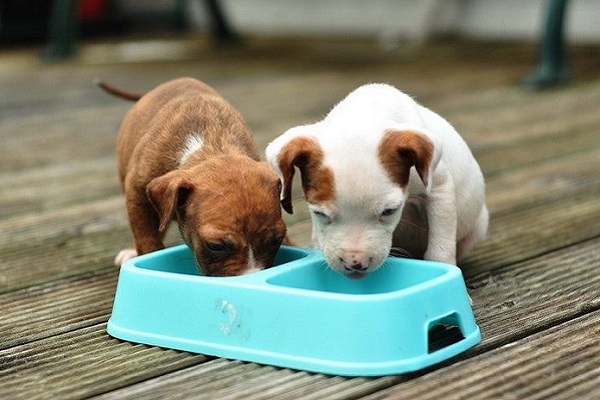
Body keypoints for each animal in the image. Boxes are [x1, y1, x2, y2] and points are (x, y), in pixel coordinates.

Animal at [268, 84, 488, 278]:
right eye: (319, 213)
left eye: (389, 211)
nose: (355, 264)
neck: (364, 113)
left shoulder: (439, 190)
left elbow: (440, 248)